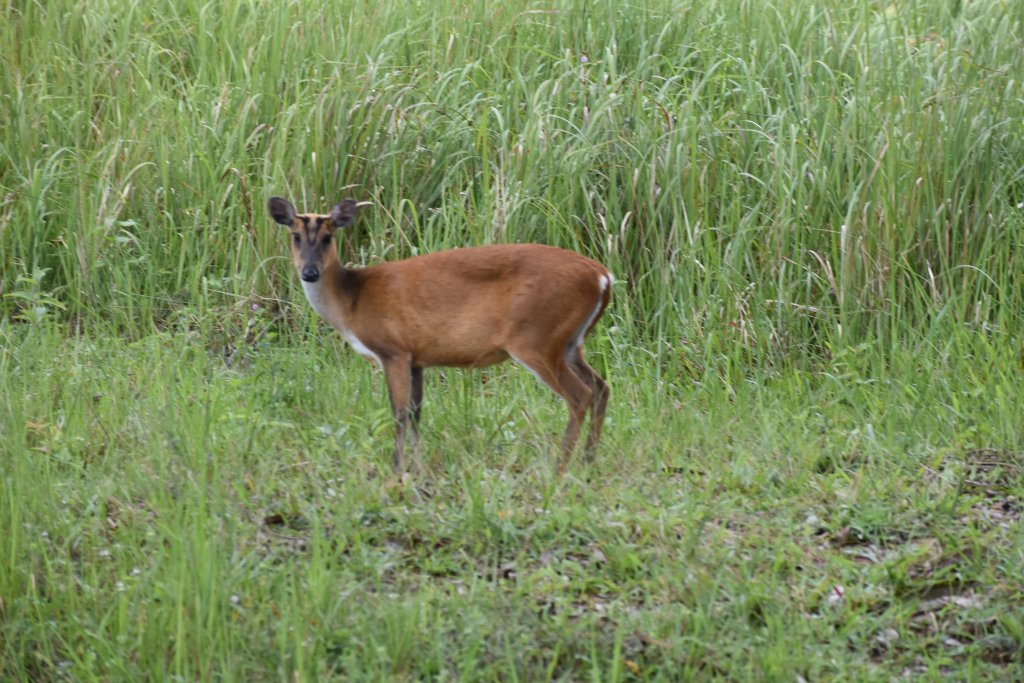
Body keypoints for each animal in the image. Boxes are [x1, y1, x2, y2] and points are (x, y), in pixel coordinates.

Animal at [268, 196, 610, 475]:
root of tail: (603, 276)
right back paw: (588, 462)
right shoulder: (417, 357)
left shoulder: (393, 349)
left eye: (328, 237)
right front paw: (416, 467)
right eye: (295, 237)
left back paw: (560, 467)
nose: (309, 272)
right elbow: (417, 412)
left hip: (536, 339)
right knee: (601, 388)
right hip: (569, 343)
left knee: (580, 395)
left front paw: (396, 470)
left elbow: (399, 413)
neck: (352, 300)